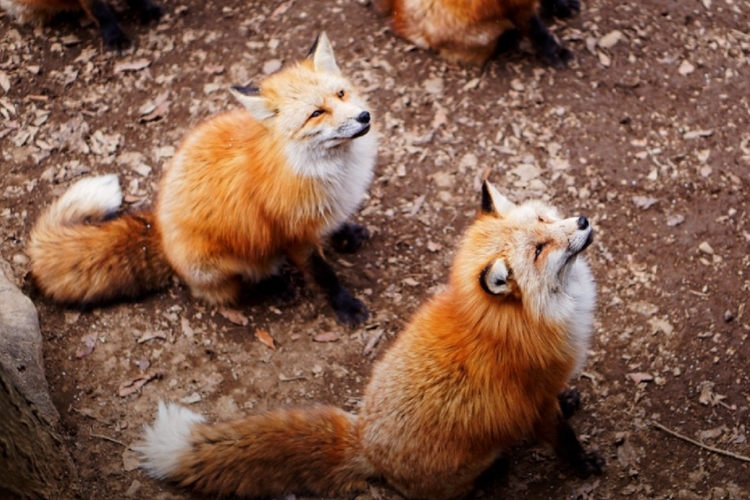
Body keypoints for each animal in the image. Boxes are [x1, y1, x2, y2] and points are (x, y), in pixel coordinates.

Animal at [27, 32, 377, 327]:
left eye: (341, 93)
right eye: (316, 113)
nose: (364, 117)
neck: (326, 170)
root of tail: (160, 230)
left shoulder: (327, 208)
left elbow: (335, 225)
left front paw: (348, 233)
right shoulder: (294, 234)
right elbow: (324, 275)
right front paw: (346, 307)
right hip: (223, 261)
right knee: (241, 281)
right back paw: (273, 285)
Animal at [135, 181, 604, 499]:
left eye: (543, 221)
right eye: (540, 249)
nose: (583, 221)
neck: (515, 322)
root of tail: (363, 442)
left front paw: (570, 399)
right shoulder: (535, 404)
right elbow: (564, 440)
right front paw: (584, 464)